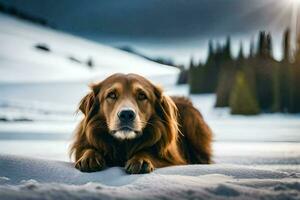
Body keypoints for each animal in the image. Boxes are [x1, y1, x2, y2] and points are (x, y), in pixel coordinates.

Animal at [70, 73, 212, 173]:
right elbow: (88, 148)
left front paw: (141, 159)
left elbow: (148, 151)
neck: (124, 144)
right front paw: (90, 157)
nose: (126, 114)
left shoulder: (172, 158)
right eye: (111, 95)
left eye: (142, 96)